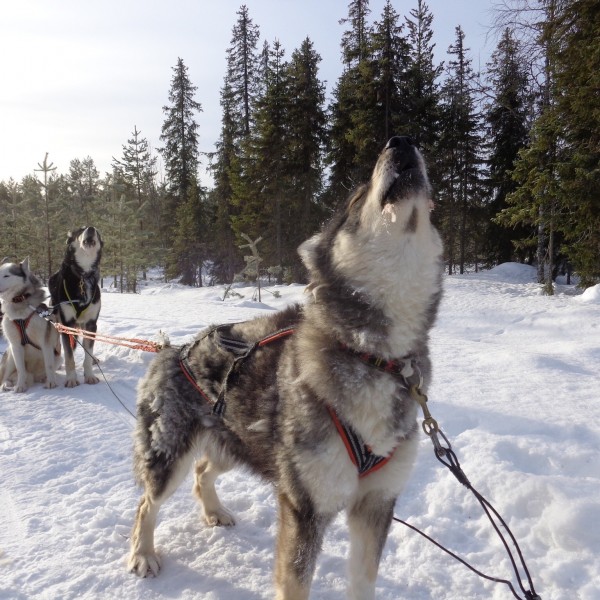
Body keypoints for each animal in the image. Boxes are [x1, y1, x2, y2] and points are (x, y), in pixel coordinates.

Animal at [0, 258, 61, 394]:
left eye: (6, 275)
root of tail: (34, 376)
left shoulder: (46, 343)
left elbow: (49, 365)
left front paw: (51, 382)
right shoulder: (16, 345)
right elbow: (21, 369)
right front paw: (20, 386)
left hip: (58, 358)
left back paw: (45, 378)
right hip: (10, 355)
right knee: (6, 377)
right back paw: (7, 384)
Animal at [48, 226, 103, 390]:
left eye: (97, 232)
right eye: (80, 230)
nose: (91, 228)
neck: (83, 276)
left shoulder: (91, 324)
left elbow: (87, 353)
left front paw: (90, 376)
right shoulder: (67, 324)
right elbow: (69, 357)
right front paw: (71, 379)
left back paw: (93, 358)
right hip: (57, 322)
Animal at [127, 137, 446, 600]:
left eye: (431, 204)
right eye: (356, 198)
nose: (400, 141)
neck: (374, 356)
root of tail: (172, 350)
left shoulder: (376, 504)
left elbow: (363, 580)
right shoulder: (304, 506)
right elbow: (295, 582)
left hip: (240, 445)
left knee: (203, 472)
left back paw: (214, 511)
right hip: (172, 456)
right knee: (147, 502)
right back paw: (143, 554)